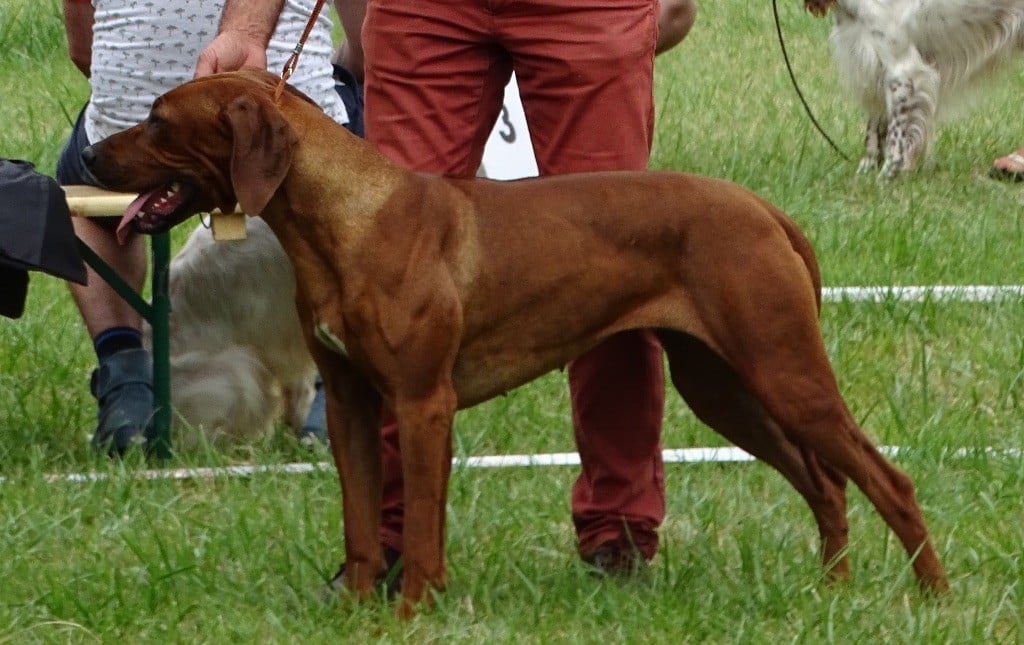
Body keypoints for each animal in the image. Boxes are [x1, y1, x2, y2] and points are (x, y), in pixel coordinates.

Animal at [806, 0, 1024, 177]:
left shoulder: (902, 70)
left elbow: (896, 139)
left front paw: (886, 177)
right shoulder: (873, 70)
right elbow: (874, 132)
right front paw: (866, 173)